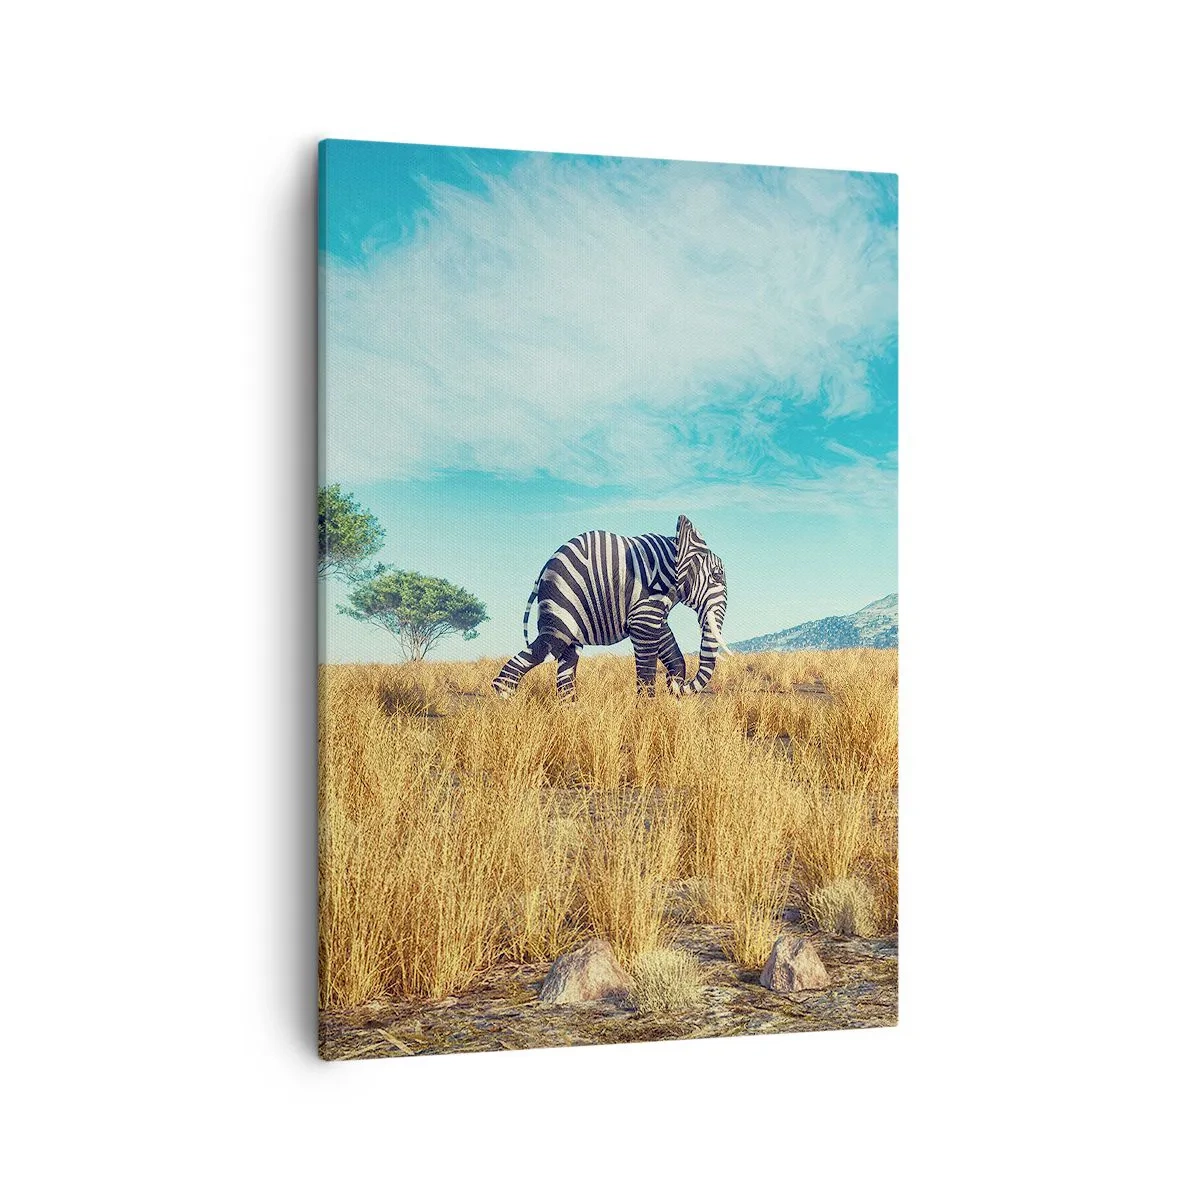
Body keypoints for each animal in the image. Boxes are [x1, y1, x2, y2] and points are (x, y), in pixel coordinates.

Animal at [492, 514, 734, 698]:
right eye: (716, 576)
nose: (679, 686)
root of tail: (542, 570)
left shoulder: (653, 608)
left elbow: (671, 648)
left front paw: (672, 686)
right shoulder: (645, 602)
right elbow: (647, 660)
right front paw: (647, 715)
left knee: (567, 663)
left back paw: (571, 716)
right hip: (562, 601)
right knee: (549, 647)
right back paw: (508, 704)